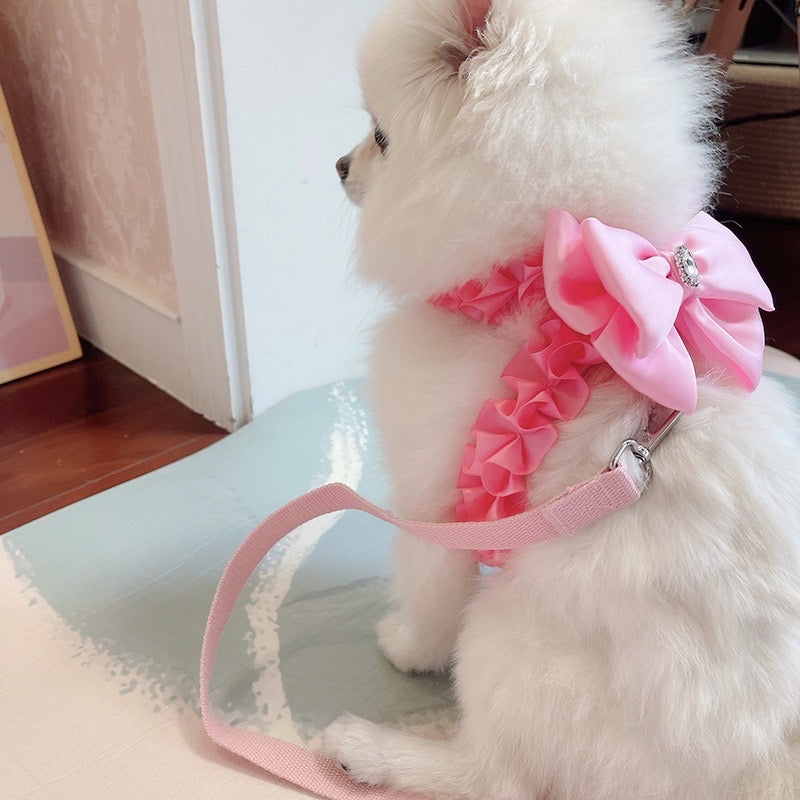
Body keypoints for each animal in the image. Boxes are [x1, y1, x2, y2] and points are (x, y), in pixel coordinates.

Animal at [324, 1, 800, 798]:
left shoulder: (433, 504)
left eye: (381, 136)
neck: (529, 284)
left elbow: (428, 590)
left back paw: (370, 749)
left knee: (492, 776)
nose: (337, 165)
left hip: (506, 636)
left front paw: (407, 647)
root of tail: (757, 760)